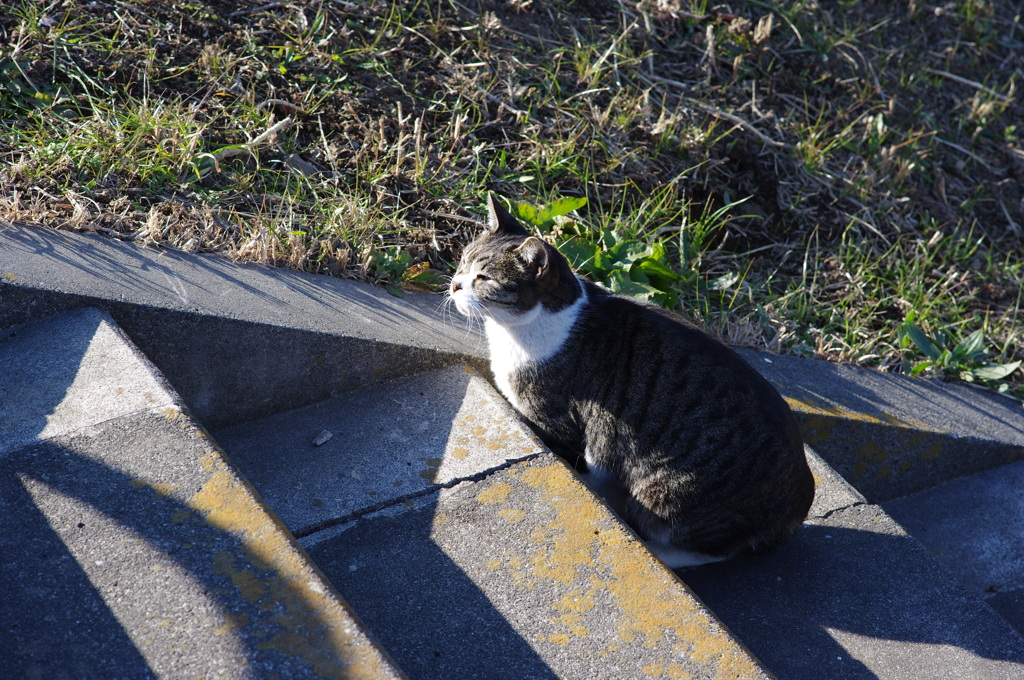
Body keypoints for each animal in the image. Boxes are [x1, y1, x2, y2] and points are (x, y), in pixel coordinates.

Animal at [450, 192, 815, 569]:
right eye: (462, 262)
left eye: (484, 278)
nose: (454, 284)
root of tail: (799, 502)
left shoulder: (556, 420)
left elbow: (573, 454)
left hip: (670, 491)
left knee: (705, 547)